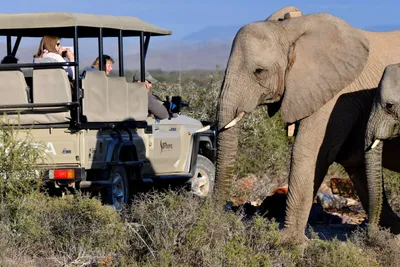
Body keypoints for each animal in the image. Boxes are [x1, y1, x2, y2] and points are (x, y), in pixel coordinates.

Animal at [216, 4, 400, 243]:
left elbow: (310, 152)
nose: (217, 217)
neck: (290, 29)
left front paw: (287, 242)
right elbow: (353, 160)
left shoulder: (337, 94)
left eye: (259, 71)